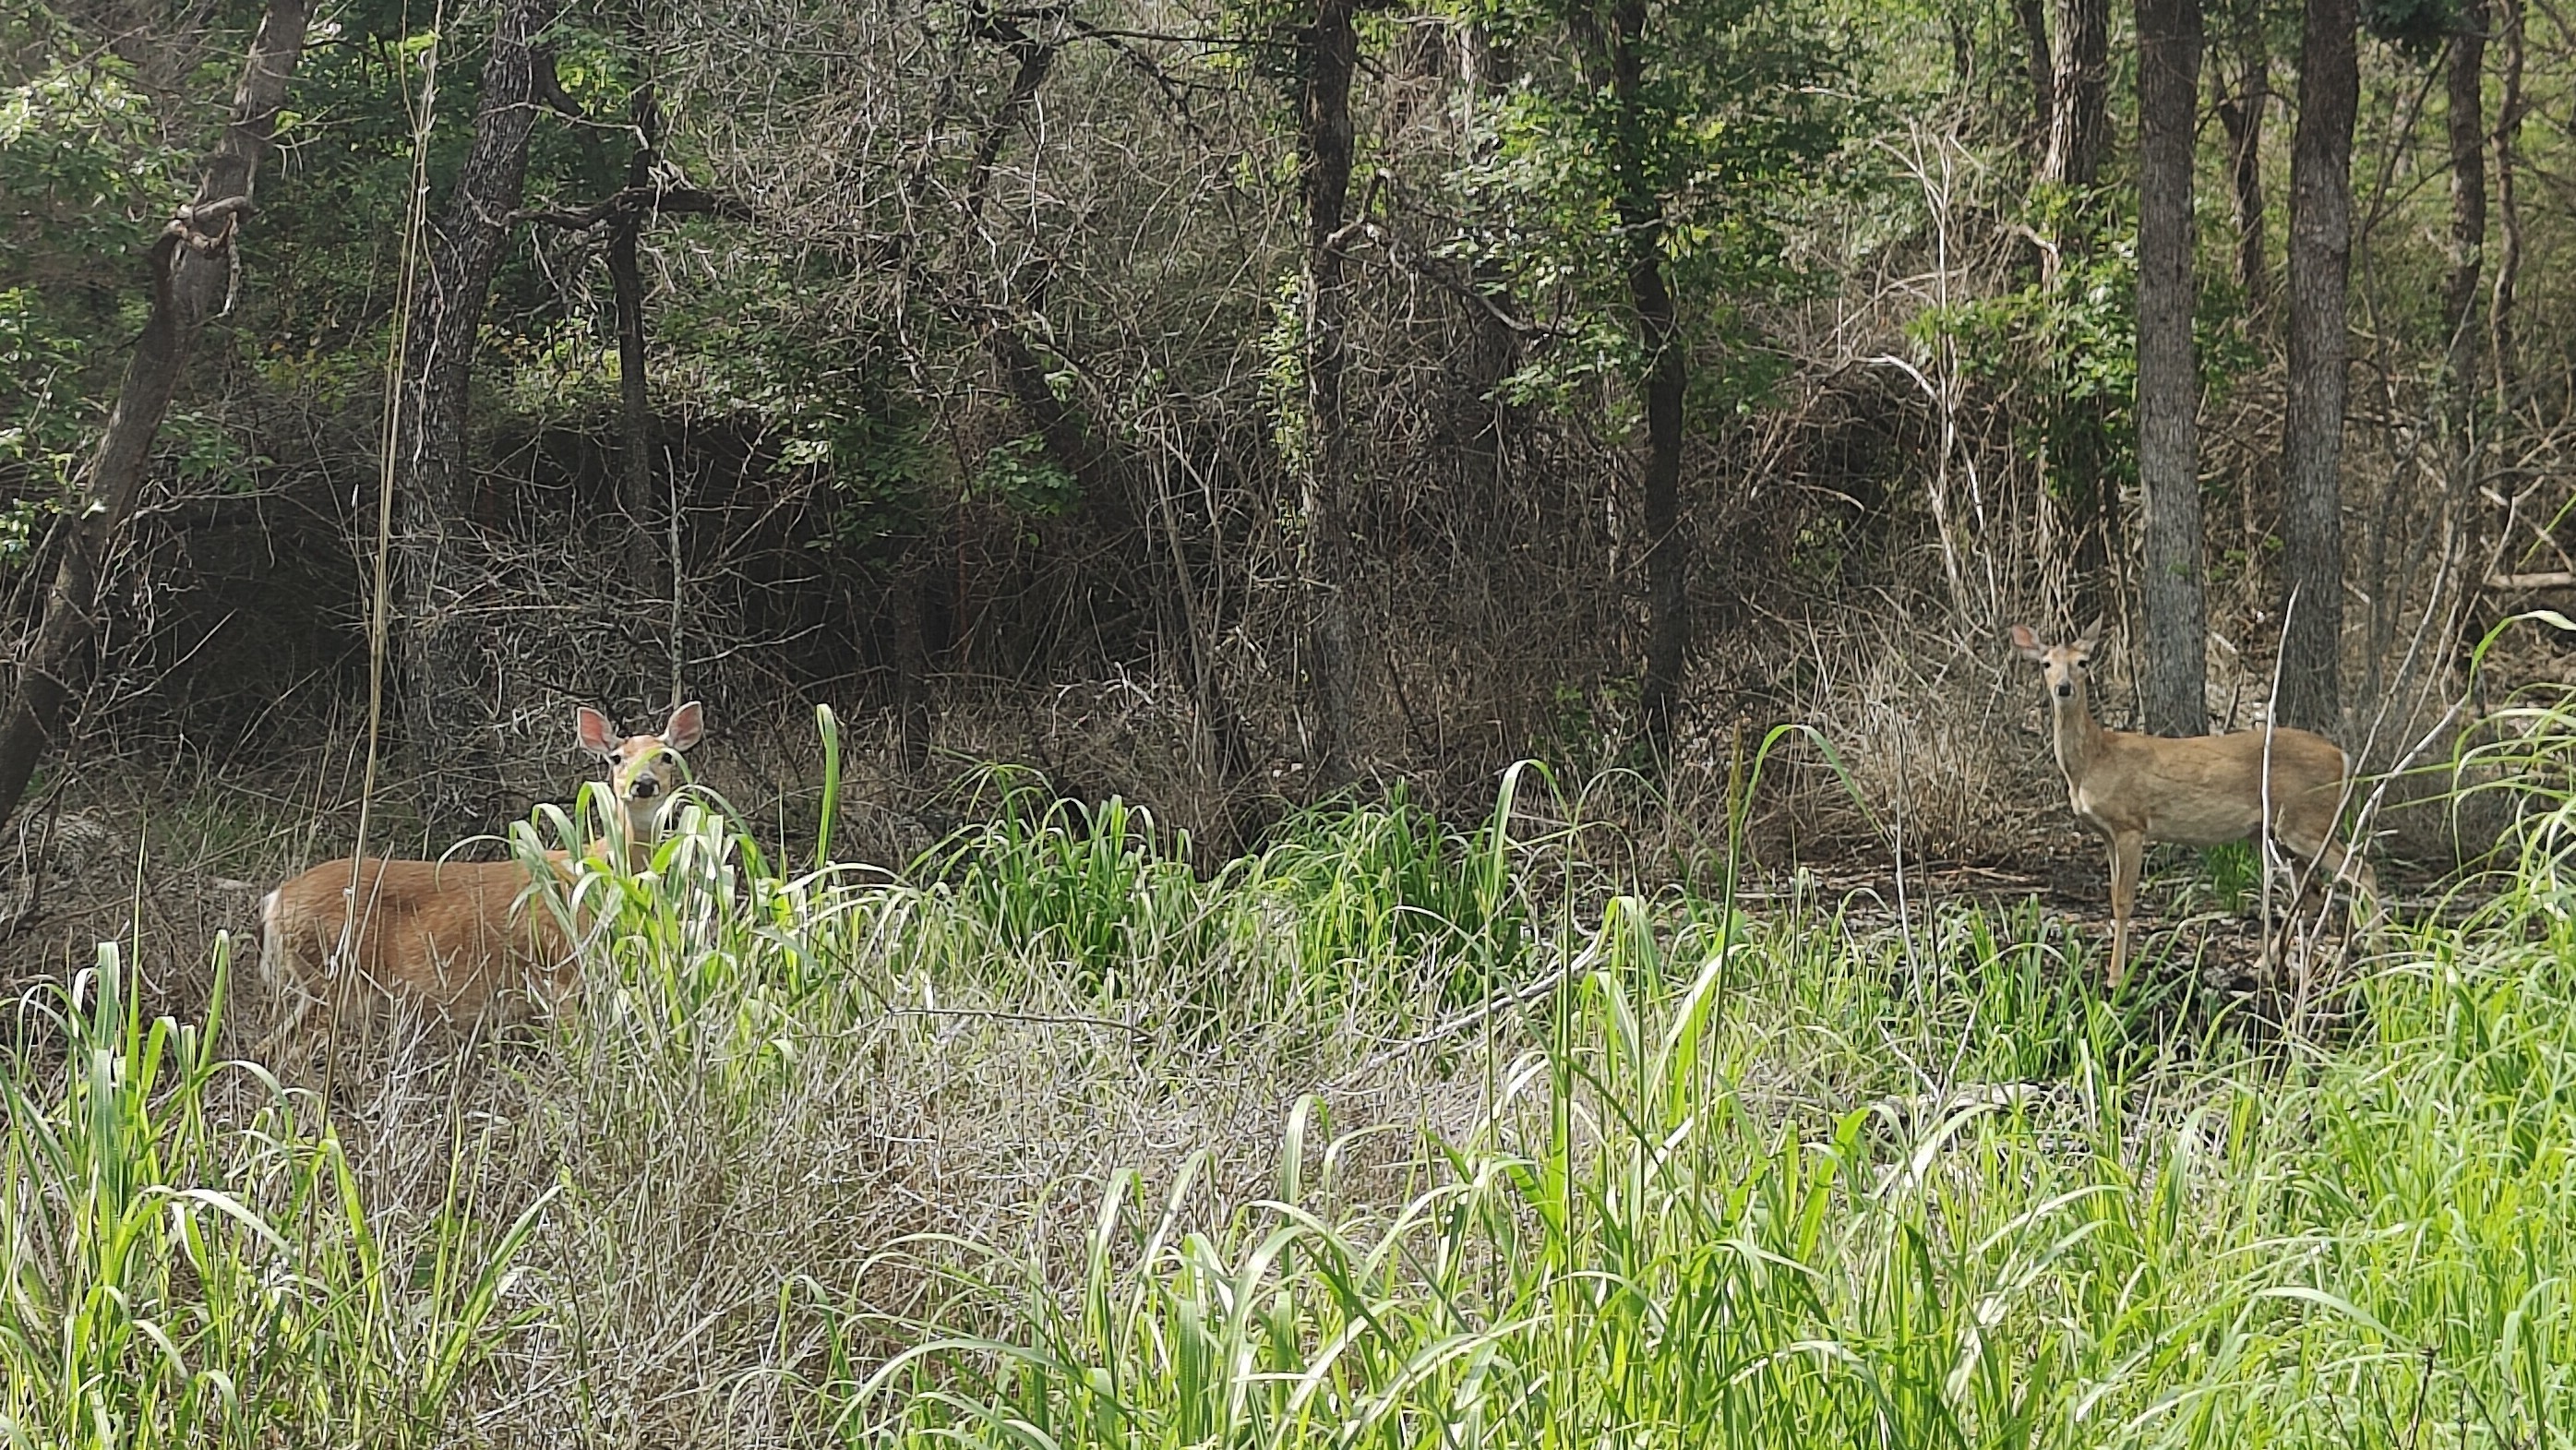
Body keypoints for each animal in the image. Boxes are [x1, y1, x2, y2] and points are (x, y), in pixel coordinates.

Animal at [257, 701, 704, 1049]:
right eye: (616, 758)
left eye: (666, 756)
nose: (642, 784)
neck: (597, 875)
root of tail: (275, 901)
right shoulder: (557, 967)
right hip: (334, 973)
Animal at [2008, 624, 2374, 988]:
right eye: (2046, 663)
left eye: (2082, 662)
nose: (2063, 688)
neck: (2094, 759)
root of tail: (2342, 756)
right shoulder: (2106, 833)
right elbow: (2113, 896)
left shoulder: (2131, 824)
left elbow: (2123, 901)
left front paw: (2116, 979)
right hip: (2278, 832)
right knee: (2314, 891)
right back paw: (2269, 964)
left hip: (2307, 821)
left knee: (2360, 871)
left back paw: (2372, 961)